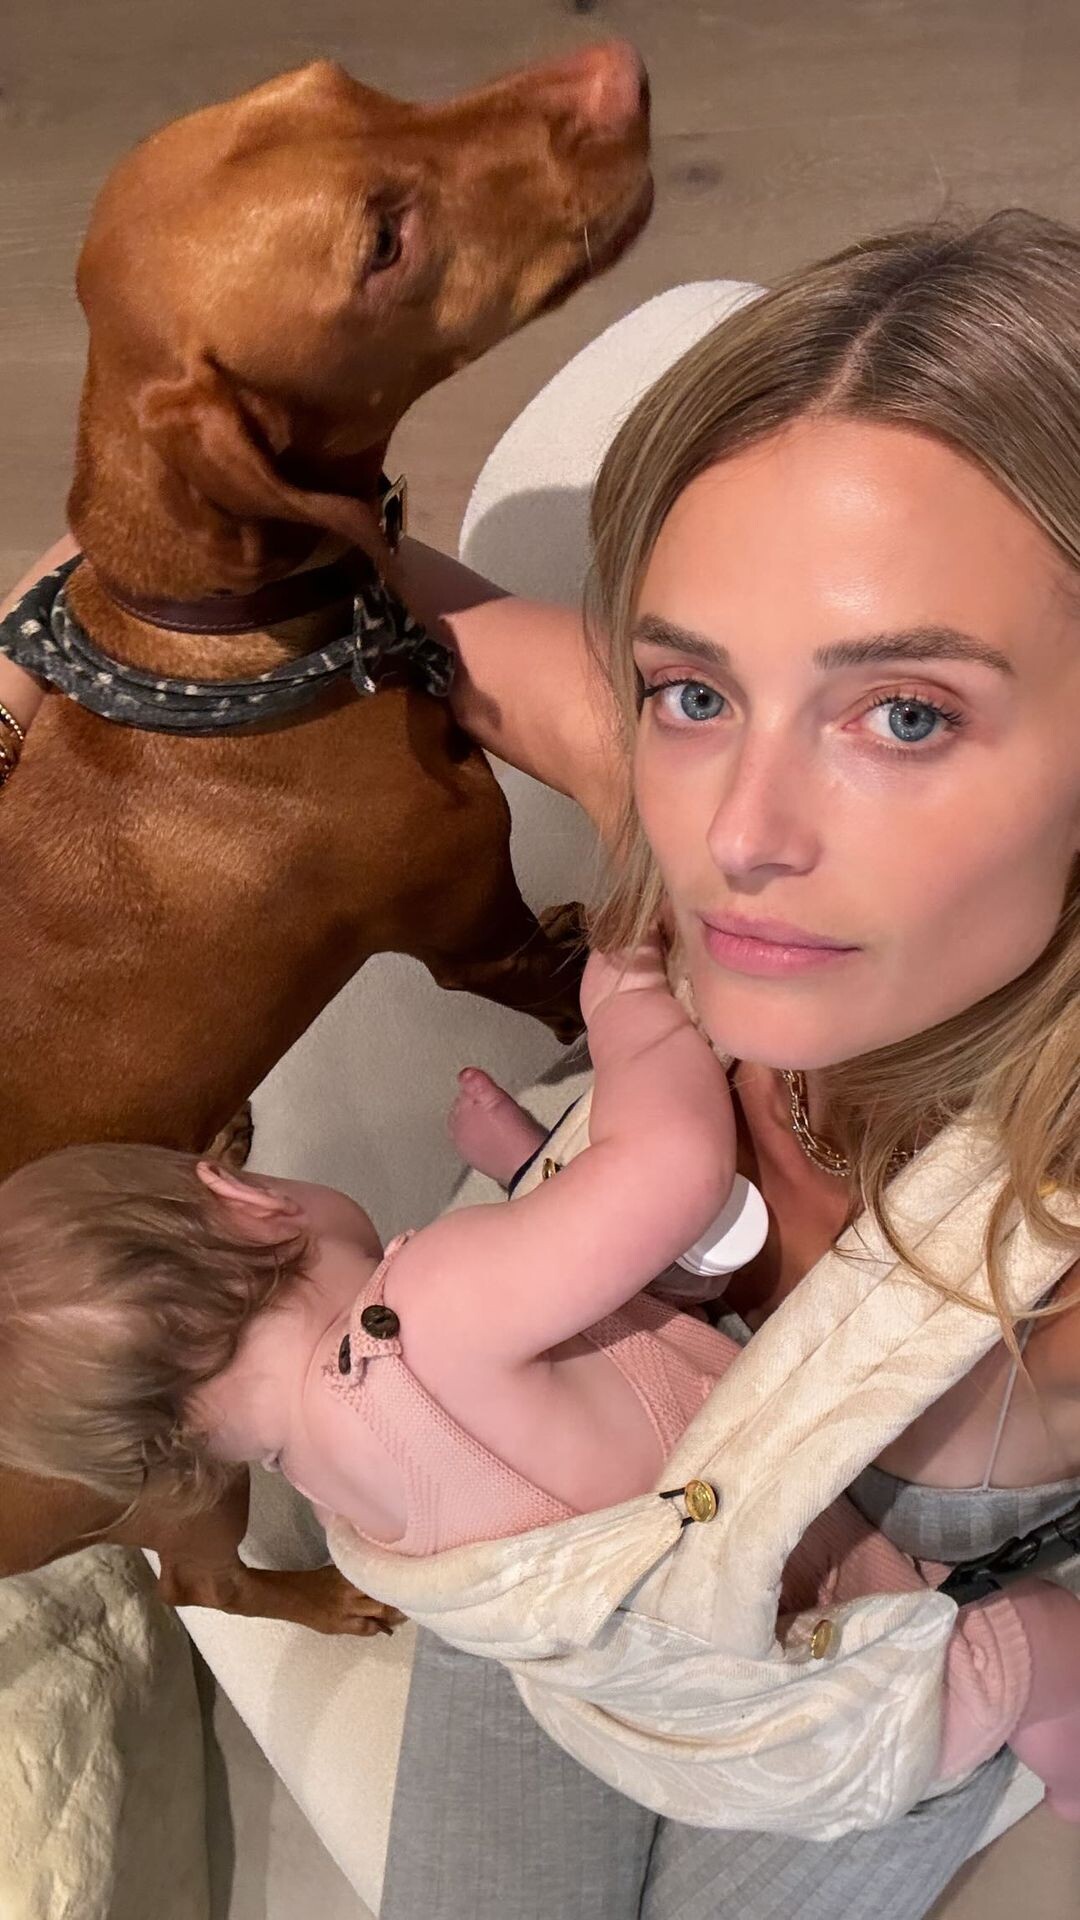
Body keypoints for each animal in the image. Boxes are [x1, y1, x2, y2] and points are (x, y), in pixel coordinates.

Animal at [0, 45, 651, 1633]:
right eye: (383, 245)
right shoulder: (468, 932)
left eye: (348, 79)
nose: (615, 69)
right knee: (202, 1586)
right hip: (167, 1469)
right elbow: (562, 985)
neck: (212, 654)